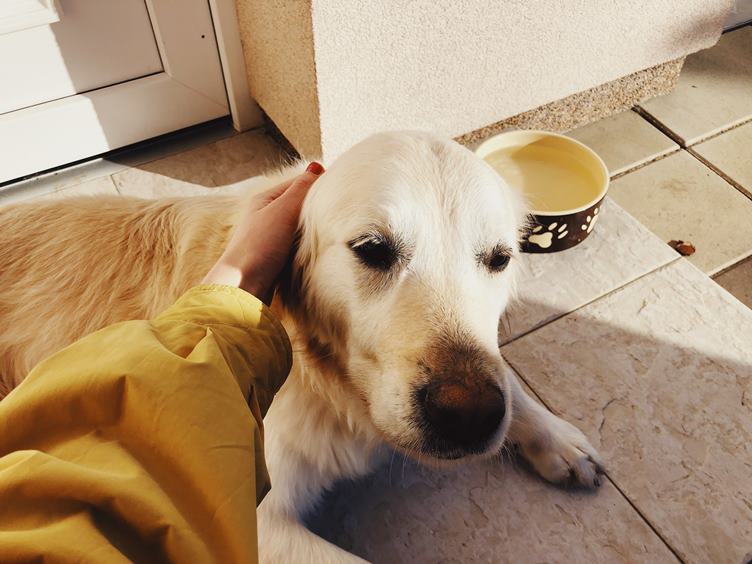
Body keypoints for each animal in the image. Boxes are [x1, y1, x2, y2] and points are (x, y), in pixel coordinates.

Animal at [0, 131, 604, 562]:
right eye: (372, 248)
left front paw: (556, 436)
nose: (469, 415)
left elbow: (505, 375)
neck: (329, 384)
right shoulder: (250, 524)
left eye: (499, 258)